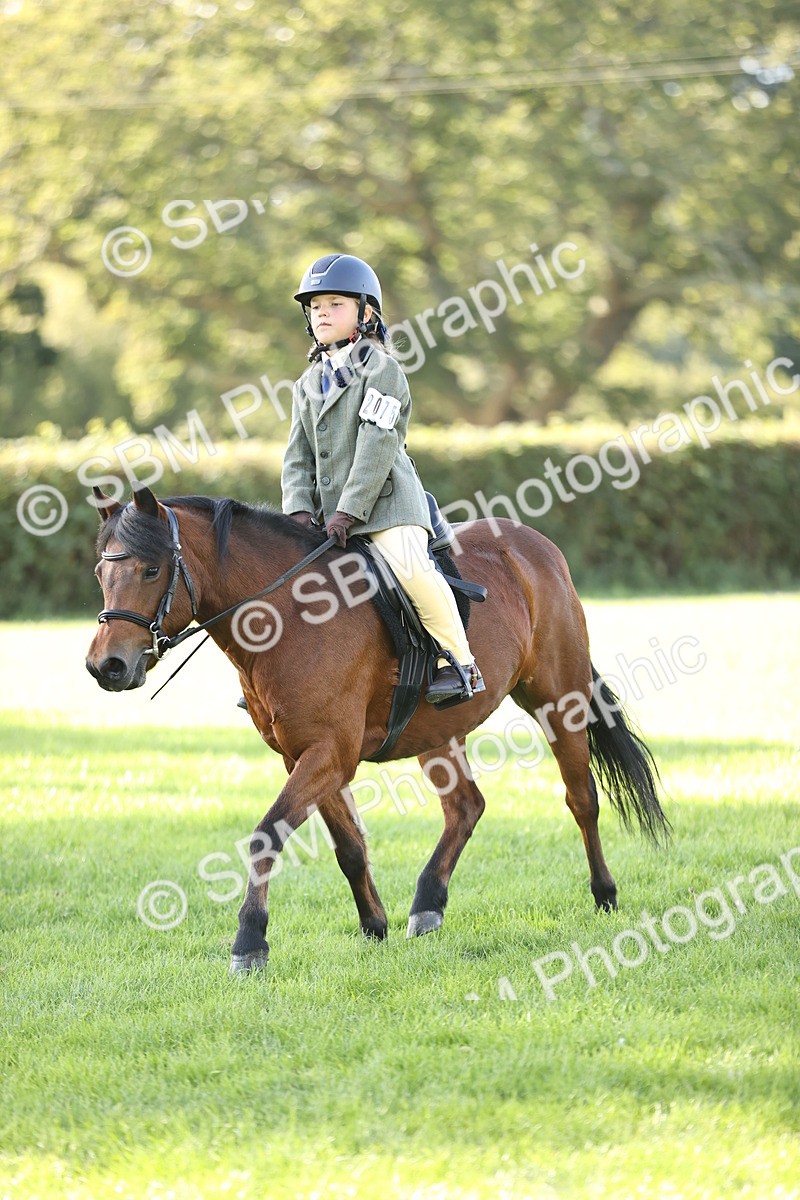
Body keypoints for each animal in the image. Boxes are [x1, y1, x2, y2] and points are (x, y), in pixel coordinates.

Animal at [86, 486, 669, 973]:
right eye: (100, 573)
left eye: (151, 570)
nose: (106, 667)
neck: (288, 613)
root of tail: (534, 544)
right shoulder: (304, 755)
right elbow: (348, 846)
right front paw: (374, 925)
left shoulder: (330, 752)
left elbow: (267, 834)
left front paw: (249, 943)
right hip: (438, 731)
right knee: (466, 806)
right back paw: (427, 905)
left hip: (557, 698)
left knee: (581, 797)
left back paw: (604, 893)